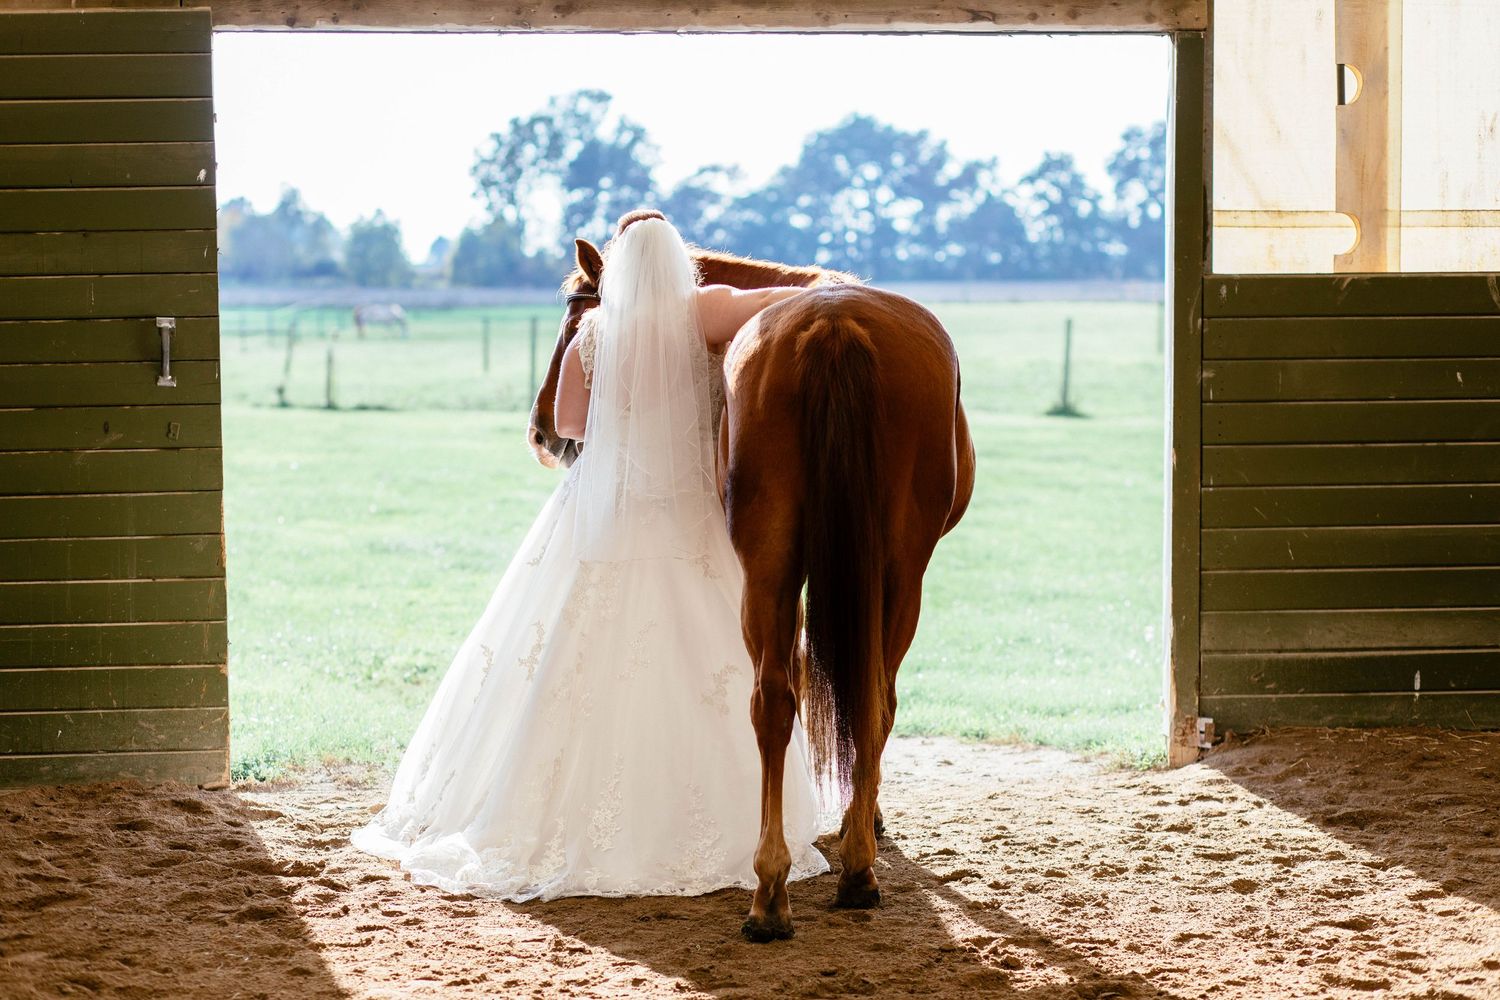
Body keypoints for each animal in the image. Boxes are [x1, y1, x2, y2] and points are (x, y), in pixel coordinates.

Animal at [529, 214, 975, 942]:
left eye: (575, 315)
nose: (546, 431)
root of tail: (833, 323)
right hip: (881, 571)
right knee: (848, 697)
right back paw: (822, 873)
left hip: (809, 566)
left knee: (787, 699)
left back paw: (787, 883)